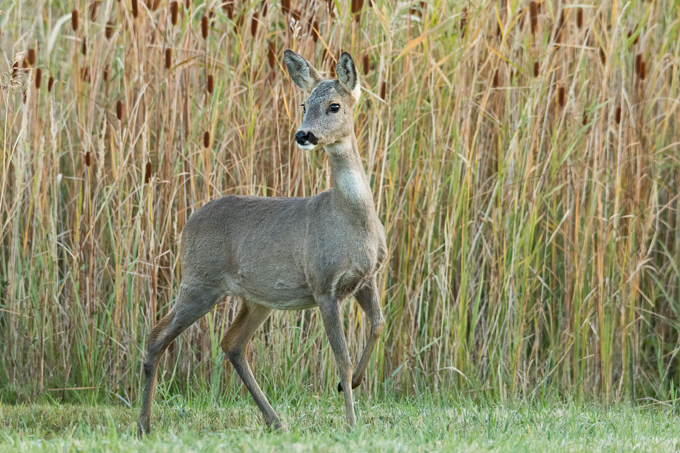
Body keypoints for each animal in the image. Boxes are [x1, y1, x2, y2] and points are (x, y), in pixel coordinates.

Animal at [137, 50, 387, 436]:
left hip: (257, 299)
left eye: (334, 106)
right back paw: (144, 425)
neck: (352, 220)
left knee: (232, 343)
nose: (303, 134)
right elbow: (341, 358)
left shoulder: (366, 277)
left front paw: (356, 383)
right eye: (303, 104)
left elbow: (378, 326)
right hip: (199, 281)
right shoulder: (322, 284)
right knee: (157, 335)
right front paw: (351, 422)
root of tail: (187, 223)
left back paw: (275, 420)